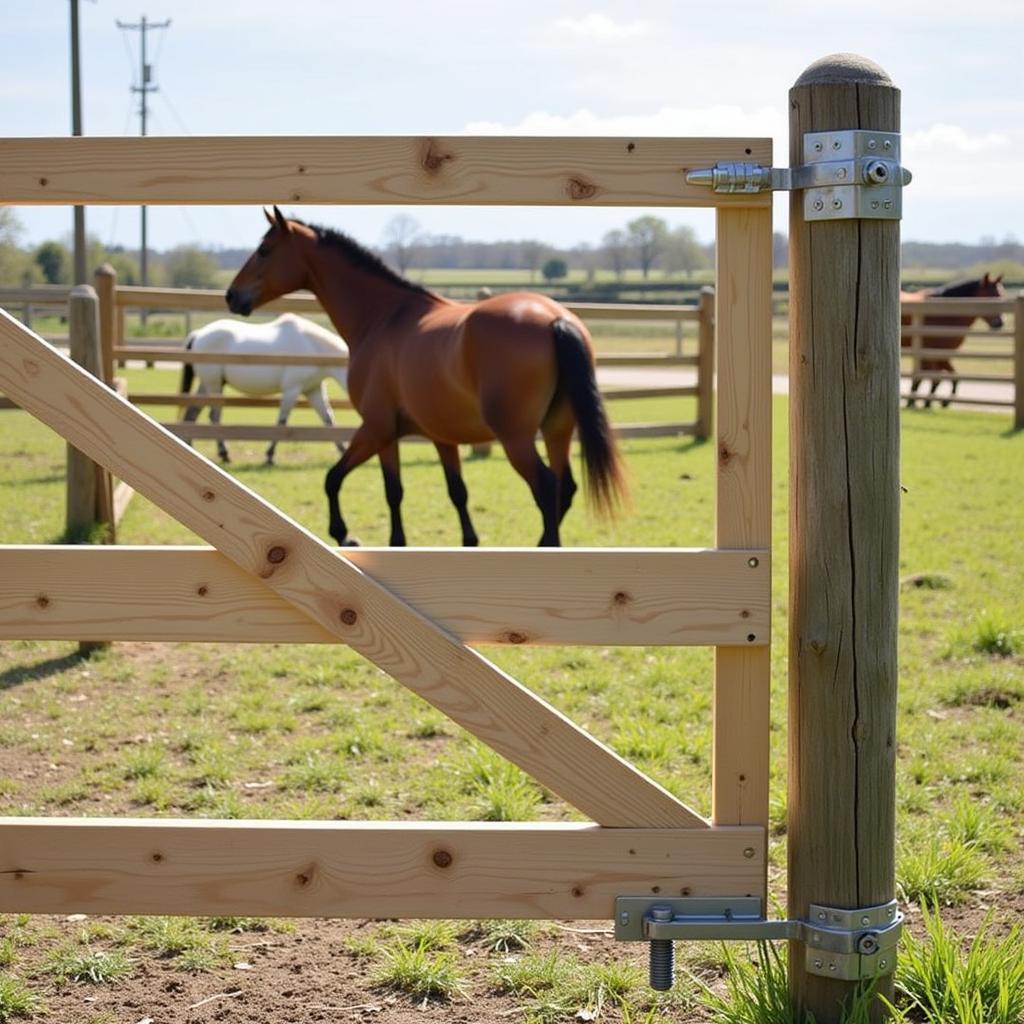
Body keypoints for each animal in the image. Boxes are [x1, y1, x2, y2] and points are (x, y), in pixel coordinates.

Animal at [180, 311, 348, 464]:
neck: (312, 347)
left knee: (192, 412)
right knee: (214, 416)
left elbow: (328, 420)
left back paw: (190, 445)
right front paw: (269, 456)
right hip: (214, 385)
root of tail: (199, 334)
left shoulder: (313, 390)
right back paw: (224, 453)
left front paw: (343, 450)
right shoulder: (292, 390)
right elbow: (282, 422)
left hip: (207, 384)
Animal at [226, 205, 622, 544]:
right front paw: (469, 541)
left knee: (546, 488)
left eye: (264, 250)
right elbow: (457, 493)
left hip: (516, 438)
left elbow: (355, 483)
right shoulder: (441, 437)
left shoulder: (378, 429)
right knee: (563, 489)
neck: (384, 317)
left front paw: (349, 535)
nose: (232, 296)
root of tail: (555, 319)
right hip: (558, 429)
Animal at [901, 276, 1003, 411]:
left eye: (1002, 295)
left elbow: (949, 377)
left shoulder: (940, 355)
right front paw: (923, 402)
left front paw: (929, 402)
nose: (999, 323)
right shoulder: (932, 354)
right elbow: (930, 378)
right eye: (991, 295)